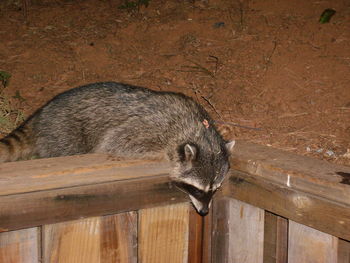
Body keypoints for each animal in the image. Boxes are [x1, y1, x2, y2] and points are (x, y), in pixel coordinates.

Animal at [0, 83, 235, 217]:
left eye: (215, 190)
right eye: (197, 190)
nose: (204, 211)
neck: (198, 131)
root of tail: (42, 113)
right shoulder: (148, 130)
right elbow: (113, 142)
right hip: (62, 132)